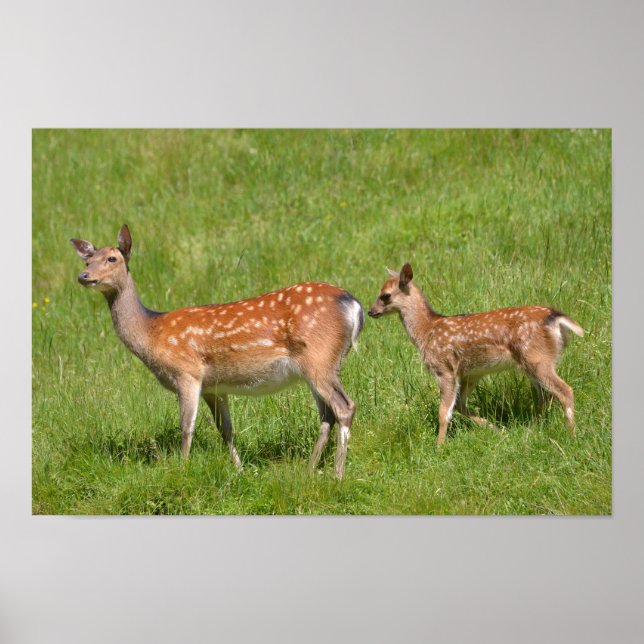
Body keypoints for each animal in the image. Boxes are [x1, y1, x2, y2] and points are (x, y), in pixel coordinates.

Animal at [70, 225, 363, 478]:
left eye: (111, 258)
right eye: (87, 261)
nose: (83, 277)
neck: (151, 332)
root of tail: (353, 305)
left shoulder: (187, 373)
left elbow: (186, 427)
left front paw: (183, 469)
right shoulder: (215, 386)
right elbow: (225, 429)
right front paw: (240, 470)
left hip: (319, 358)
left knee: (345, 406)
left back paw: (337, 473)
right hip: (318, 365)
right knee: (327, 415)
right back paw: (309, 470)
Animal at [368, 263, 584, 446]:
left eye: (385, 295)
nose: (370, 311)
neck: (426, 331)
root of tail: (556, 318)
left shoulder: (444, 368)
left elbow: (444, 412)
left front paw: (439, 447)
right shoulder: (470, 373)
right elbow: (460, 406)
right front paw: (495, 428)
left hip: (537, 358)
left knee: (565, 391)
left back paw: (571, 435)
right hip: (535, 362)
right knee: (545, 397)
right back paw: (534, 429)